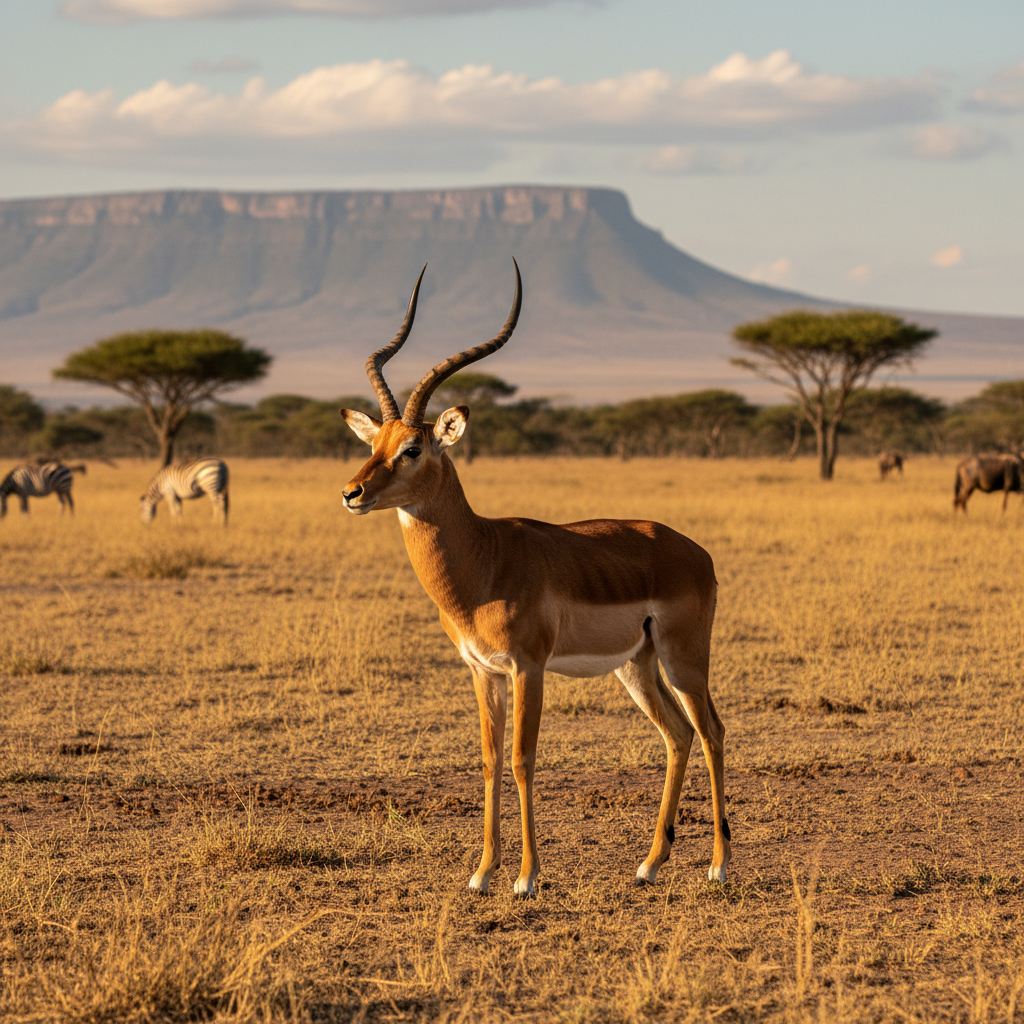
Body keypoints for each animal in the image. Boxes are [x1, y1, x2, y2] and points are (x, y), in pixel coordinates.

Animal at [340, 262, 729, 897]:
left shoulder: (529, 666)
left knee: (712, 729)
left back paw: (719, 865)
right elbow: (490, 759)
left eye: (413, 447)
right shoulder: (482, 670)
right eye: (374, 443)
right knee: (677, 734)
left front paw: (525, 877)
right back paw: (649, 863)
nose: (352, 493)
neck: (484, 559)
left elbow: (524, 759)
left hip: (684, 657)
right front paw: (481, 873)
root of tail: (696, 552)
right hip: (635, 665)